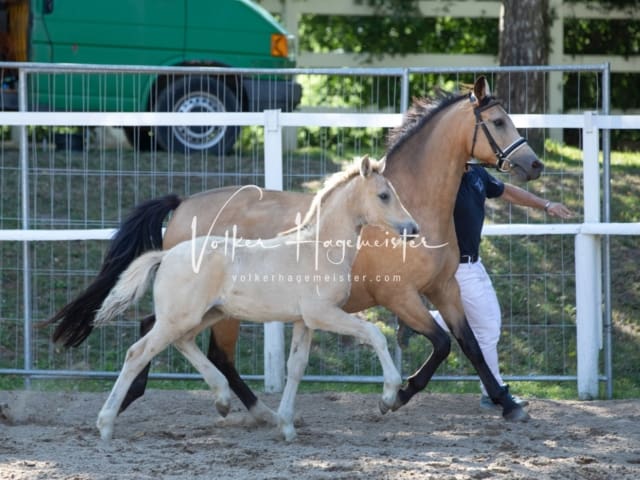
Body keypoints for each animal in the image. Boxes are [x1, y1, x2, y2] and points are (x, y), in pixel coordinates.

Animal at [92, 156, 418, 440]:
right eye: (384, 195)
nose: (413, 229)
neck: (318, 249)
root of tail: (167, 255)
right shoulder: (322, 313)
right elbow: (374, 333)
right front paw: (388, 397)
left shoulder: (304, 321)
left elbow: (295, 368)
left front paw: (286, 426)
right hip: (179, 318)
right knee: (137, 353)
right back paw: (106, 424)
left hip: (207, 315)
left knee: (183, 343)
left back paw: (223, 399)